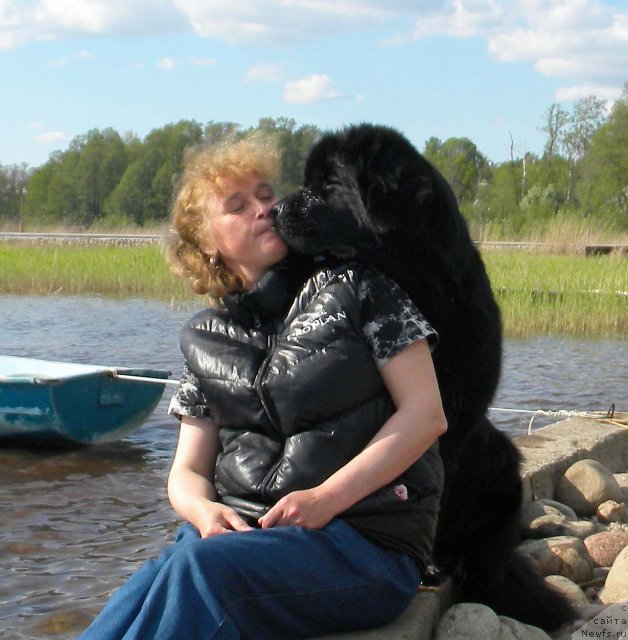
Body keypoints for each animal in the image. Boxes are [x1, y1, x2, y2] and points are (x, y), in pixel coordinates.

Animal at [272, 124, 576, 632]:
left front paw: (428, 562)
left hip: (500, 460)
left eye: (328, 185)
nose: (272, 210)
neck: (412, 280)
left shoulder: (448, 417)